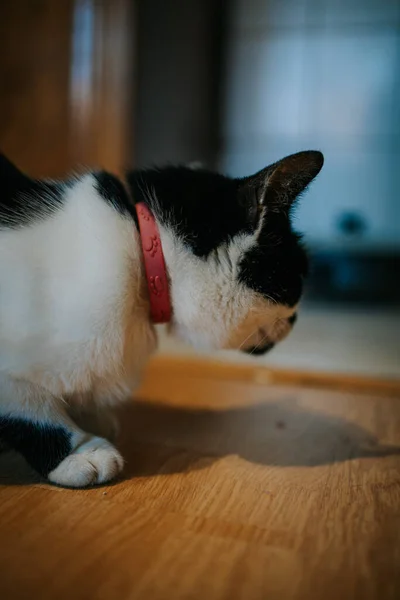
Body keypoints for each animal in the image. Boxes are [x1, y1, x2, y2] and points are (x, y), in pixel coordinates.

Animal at [0, 150, 324, 488]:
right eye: (297, 279)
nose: (296, 319)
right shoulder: (12, 376)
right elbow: (30, 412)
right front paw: (79, 451)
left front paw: (89, 417)